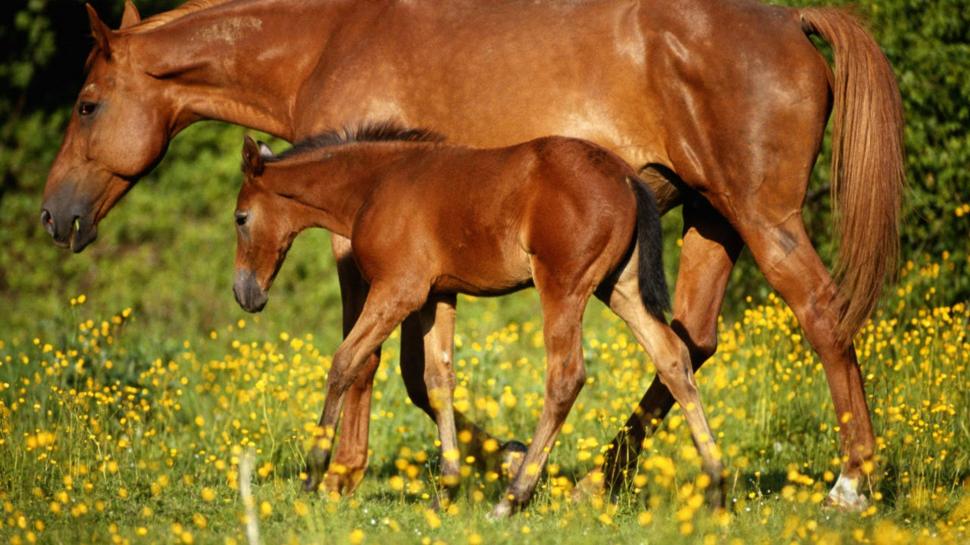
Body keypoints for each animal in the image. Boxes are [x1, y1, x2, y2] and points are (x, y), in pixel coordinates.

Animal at [230, 125, 724, 516]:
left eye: (240, 217)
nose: (246, 294)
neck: (376, 185)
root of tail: (625, 176)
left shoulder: (397, 290)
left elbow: (344, 362)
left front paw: (314, 473)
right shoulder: (437, 295)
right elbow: (438, 380)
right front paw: (446, 488)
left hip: (563, 288)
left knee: (566, 377)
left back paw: (512, 497)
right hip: (619, 287)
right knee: (673, 358)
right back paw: (716, 484)